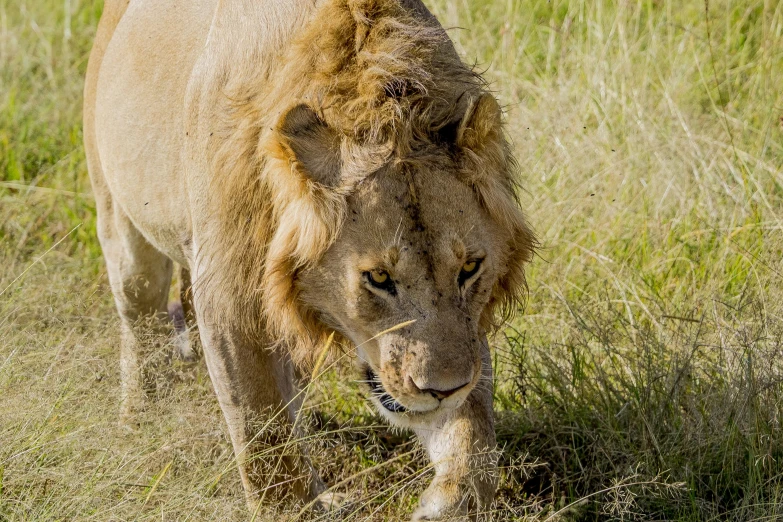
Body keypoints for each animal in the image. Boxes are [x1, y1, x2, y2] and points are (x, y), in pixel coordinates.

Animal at [84, 0, 532, 516]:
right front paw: (290, 508)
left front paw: (451, 502)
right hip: (120, 223)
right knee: (142, 324)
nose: (442, 390)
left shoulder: (461, 336)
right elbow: (264, 443)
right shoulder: (231, 302)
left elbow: (474, 436)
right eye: (378, 277)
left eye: (469, 268)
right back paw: (140, 420)